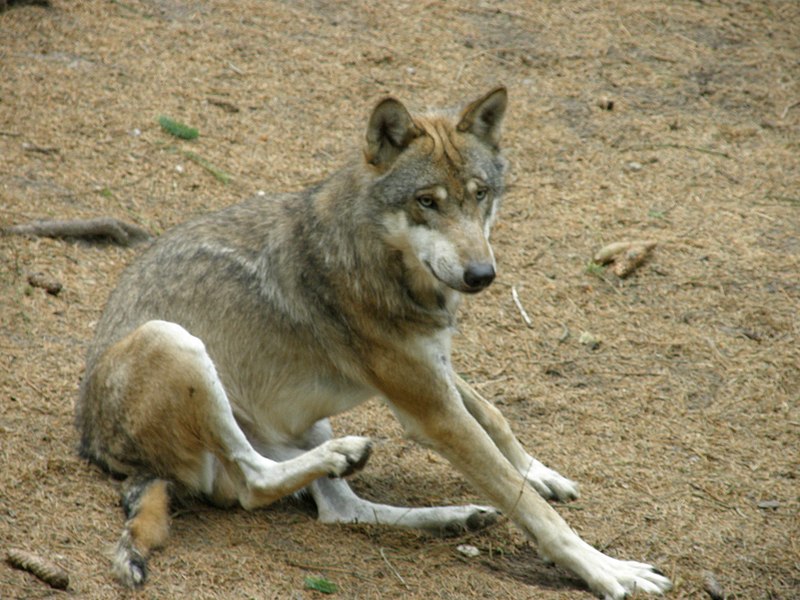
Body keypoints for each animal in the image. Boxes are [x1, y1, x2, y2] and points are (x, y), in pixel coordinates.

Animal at [78, 86, 672, 596]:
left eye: (480, 196)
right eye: (427, 202)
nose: (482, 275)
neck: (382, 260)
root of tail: (98, 449)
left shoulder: (435, 368)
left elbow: (497, 418)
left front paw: (540, 472)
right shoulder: (430, 410)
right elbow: (532, 507)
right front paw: (605, 569)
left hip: (301, 421)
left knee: (342, 511)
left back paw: (454, 516)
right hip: (175, 341)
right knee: (256, 482)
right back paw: (349, 457)